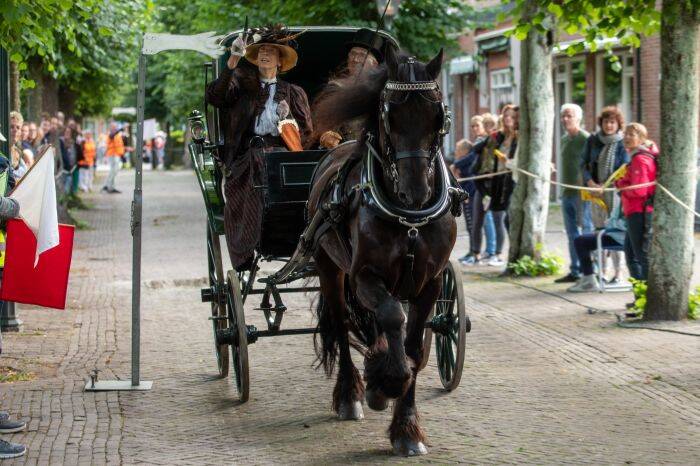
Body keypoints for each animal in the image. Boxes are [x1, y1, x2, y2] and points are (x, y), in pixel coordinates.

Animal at [308, 47, 456, 456]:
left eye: (438, 114)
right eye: (389, 114)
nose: (415, 192)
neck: (409, 219)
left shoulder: (430, 283)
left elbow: (414, 348)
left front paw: (406, 429)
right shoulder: (364, 276)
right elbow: (392, 317)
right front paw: (386, 383)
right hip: (330, 269)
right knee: (342, 324)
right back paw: (352, 394)